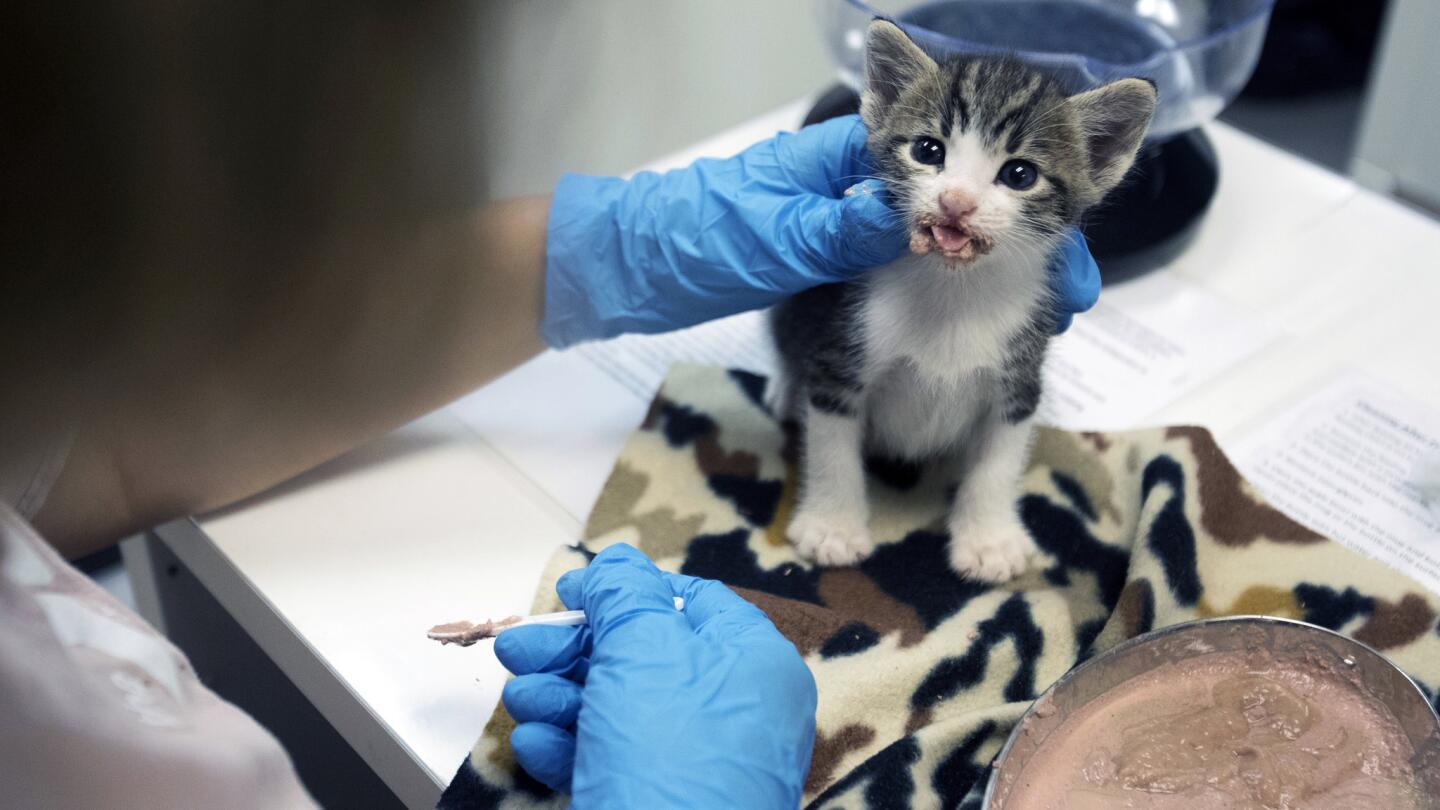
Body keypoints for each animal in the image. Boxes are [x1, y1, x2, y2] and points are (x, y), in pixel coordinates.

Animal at [771, 18, 1152, 579]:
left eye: (1020, 174)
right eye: (929, 151)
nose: (956, 201)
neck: (954, 289)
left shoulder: (1020, 377)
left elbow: (998, 464)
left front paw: (989, 539)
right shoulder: (840, 353)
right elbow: (832, 448)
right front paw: (833, 527)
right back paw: (783, 389)